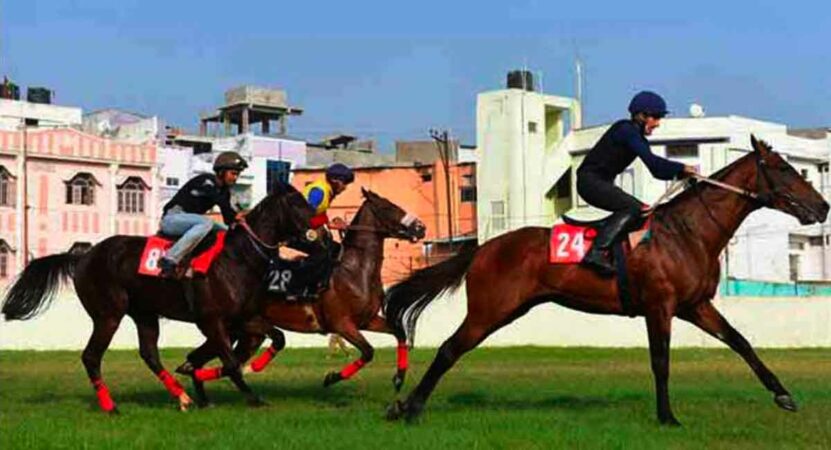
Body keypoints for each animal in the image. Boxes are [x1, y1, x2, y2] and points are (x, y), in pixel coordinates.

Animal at [1, 185, 316, 413]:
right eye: (299, 204)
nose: (320, 228)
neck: (238, 258)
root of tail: (82, 256)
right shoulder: (212, 321)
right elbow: (230, 362)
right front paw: (252, 397)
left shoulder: (243, 318)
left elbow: (277, 338)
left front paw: (225, 376)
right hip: (108, 314)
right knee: (91, 356)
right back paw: (111, 406)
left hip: (145, 314)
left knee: (149, 354)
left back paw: (182, 398)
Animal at [176, 188, 427, 406]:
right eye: (388, 207)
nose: (420, 227)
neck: (354, 270)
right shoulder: (342, 324)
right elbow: (368, 352)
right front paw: (331, 377)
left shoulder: (367, 320)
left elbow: (399, 333)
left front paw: (399, 378)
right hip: (232, 327)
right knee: (209, 360)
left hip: (244, 333)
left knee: (201, 359)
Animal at [384, 135, 829, 425]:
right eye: (783, 169)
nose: (823, 206)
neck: (688, 232)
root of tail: (483, 248)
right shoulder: (660, 307)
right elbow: (661, 361)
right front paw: (667, 417)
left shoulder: (696, 306)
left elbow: (740, 341)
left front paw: (783, 394)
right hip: (490, 310)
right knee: (448, 349)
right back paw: (409, 409)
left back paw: (406, 406)